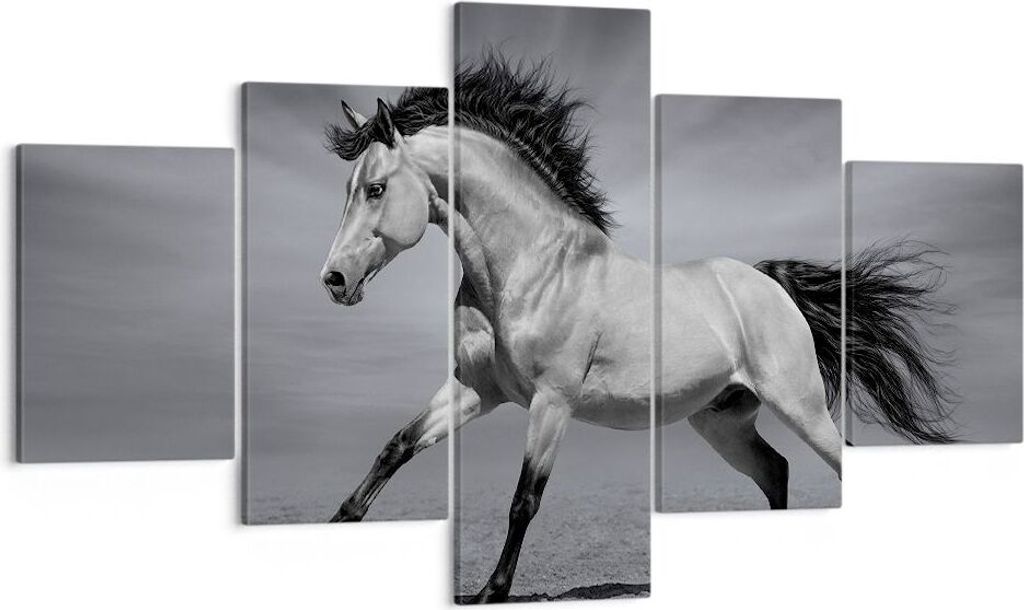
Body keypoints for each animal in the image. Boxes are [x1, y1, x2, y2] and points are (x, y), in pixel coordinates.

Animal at [317, 58, 956, 603]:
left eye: (375, 188)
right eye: (348, 189)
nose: (334, 280)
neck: (530, 268)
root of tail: (766, 282)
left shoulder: (551, 402)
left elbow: (524, 499)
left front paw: (490, 591)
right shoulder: (477, 391)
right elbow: (396, 447)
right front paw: (339, 519)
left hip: (801, 406)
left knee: (830, 463)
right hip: (721, 421)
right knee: (775, 471)